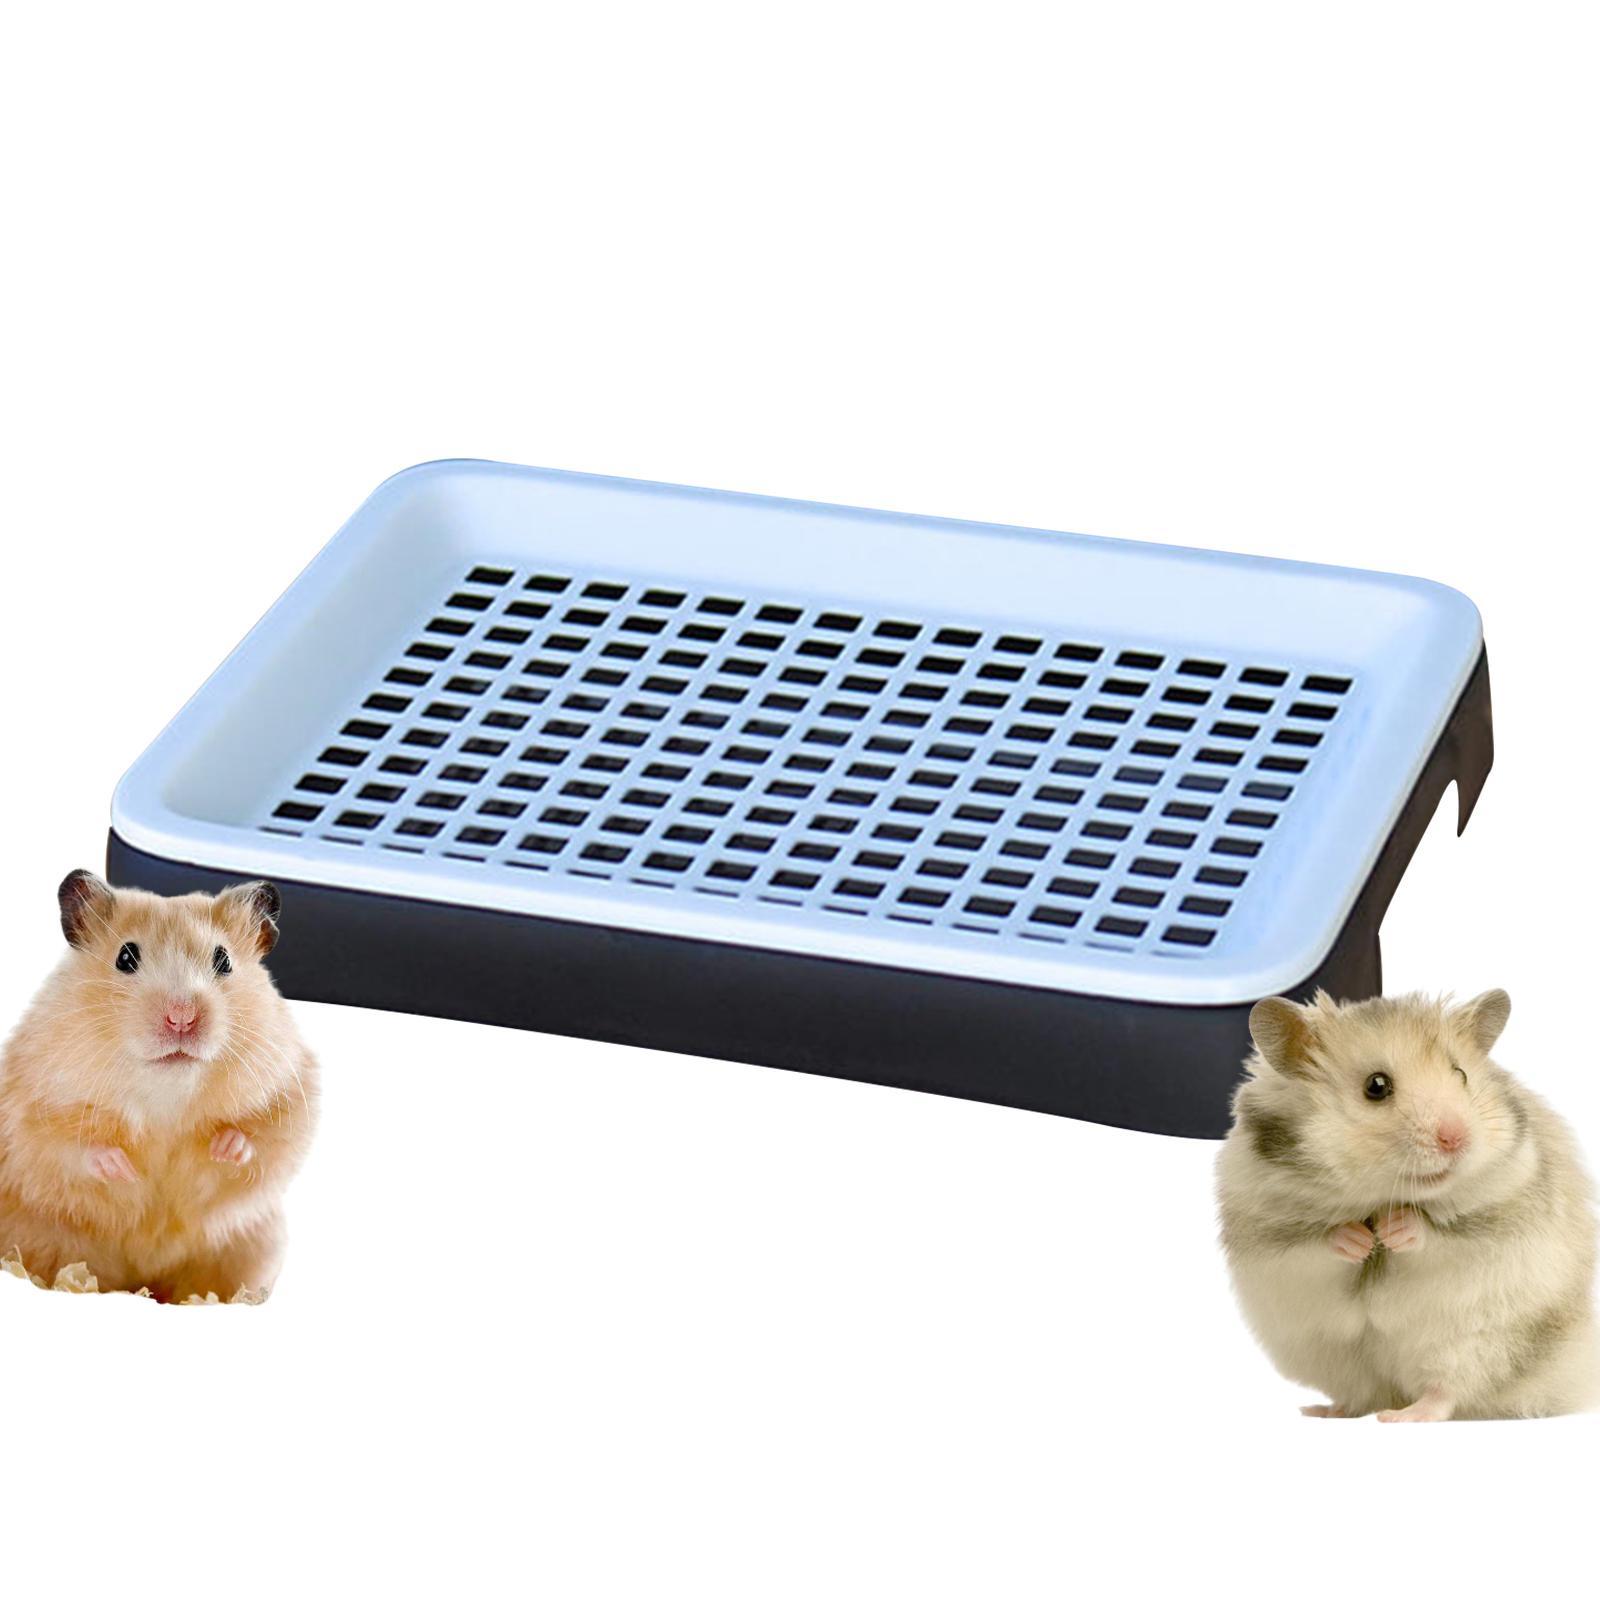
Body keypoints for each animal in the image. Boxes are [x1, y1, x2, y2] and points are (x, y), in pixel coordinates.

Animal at [0, 870, 318, 1302]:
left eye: (224, 960)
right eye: (125, 957)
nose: (182, 1017)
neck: (166, 1090)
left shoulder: (291, 1087)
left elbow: (269, 1139)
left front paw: (225, 1147)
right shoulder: (28, 1104)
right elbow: (64, 1146)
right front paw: (123, 1168)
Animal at [1217, 989, 1598, 1420]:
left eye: (1461, 1075)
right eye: (1376, 1086)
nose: (1457, 1138)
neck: (1382, 1196)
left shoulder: (1498, 1217)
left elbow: (1437, 1236)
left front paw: (1391, 1230)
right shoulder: (1269, 1236)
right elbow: (1317, 1244)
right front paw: (1360, 1240)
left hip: (1478, 1344)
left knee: (1446, 1392)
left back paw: (1402, 1417)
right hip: (1333, 1357)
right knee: (1362, 1395)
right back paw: (1324, 1410)